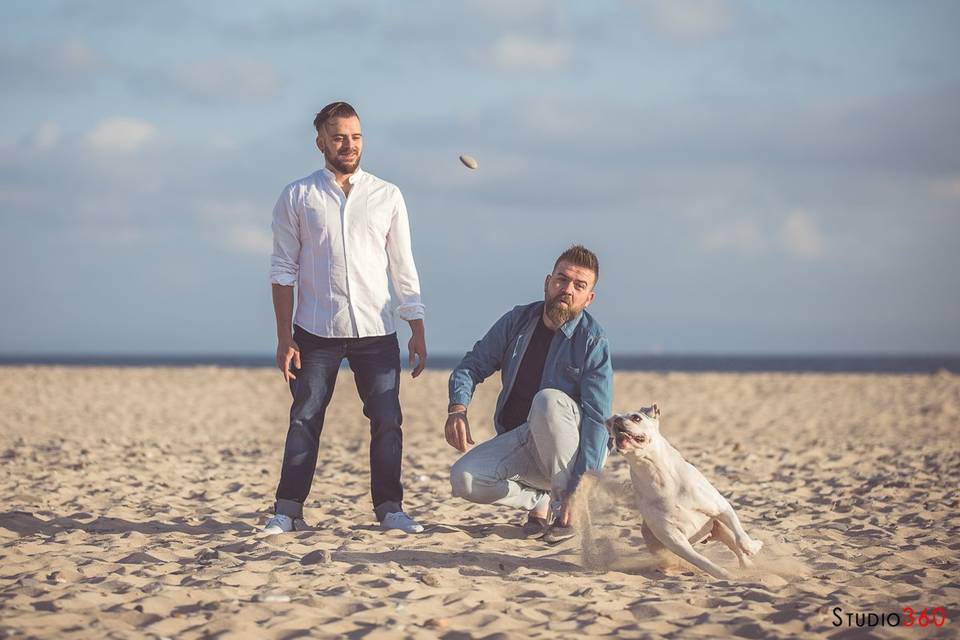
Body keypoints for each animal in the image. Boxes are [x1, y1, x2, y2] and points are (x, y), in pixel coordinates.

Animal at [604, 404, 760, 580]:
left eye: (636, 417)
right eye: (611, 422)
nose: (616, 420)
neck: (657, 474)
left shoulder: (721, 507)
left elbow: (740, 536)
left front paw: (751, 547)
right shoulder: (674, 540)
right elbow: (701, 561)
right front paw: (723, 574)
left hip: (719, 527)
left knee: (735, 545)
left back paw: (748, 564)